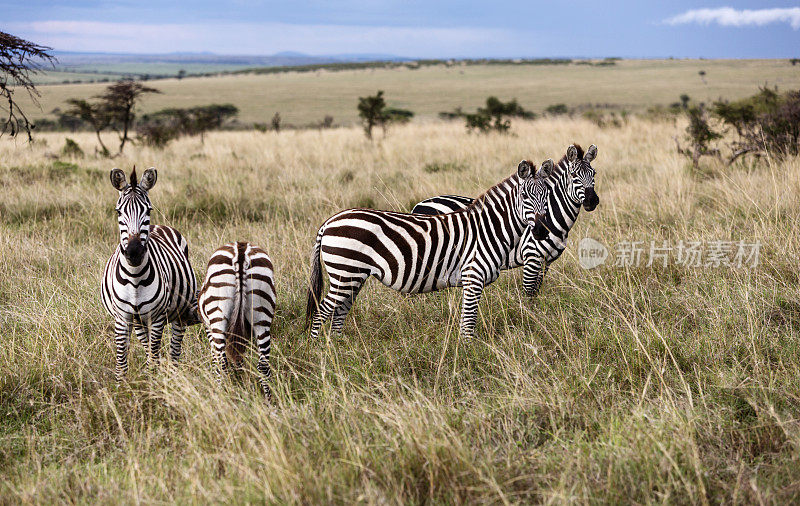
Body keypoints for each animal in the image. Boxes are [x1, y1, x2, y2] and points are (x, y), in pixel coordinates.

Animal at [101, 168, 198, 382]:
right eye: (118, 211)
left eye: (148, 210)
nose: (134, 252)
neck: (135, 278)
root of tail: (159, 226)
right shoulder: (123, 318)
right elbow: (122, 362)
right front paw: (122, 387)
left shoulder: (157, 317)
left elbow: (154, 356)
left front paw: (153, 384)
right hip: (139, 321)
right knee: (147, 348)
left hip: (180, 313)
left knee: (174, 350)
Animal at [197, 242, 276, 400]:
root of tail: (241, 250)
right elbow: (239, 358)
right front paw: (241, 381)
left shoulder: (209, 329)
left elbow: (216, 359)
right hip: (262, 316)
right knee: (263, 365)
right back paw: (269, 400)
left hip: (218, 315)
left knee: (222, 362)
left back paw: (221, 396)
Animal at [306, 156, 556, 342]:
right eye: (524, 196)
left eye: (548, 196)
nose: (542, 231)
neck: (489, 229)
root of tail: (328, 222)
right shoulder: (473, 276)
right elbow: (468, 322)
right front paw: (466, 353)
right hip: (344, 272)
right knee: (322, 311)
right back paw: (318, 351)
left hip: (353, 276)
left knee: (339, 312)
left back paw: (337, 348)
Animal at [412, 144, 600, 296]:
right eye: (574, 175)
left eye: (594, 174)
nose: (592, 201)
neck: (553, 218)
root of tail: (420, 204)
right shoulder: (531, 257)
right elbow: (529, 294)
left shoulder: (546, 261)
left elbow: (536, 292)